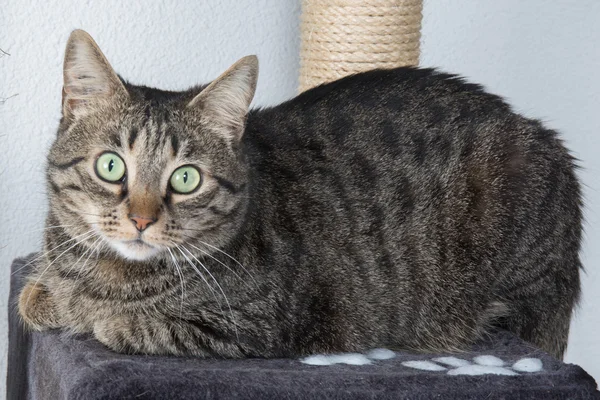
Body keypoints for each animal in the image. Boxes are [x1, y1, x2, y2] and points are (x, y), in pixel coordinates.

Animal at [17, 28, 580, 360]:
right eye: (111, 166)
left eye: (186, 178)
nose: (140, 219)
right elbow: (38, 294)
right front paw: (47, 294)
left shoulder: (254, 326)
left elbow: (121, 323)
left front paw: (93, 314)